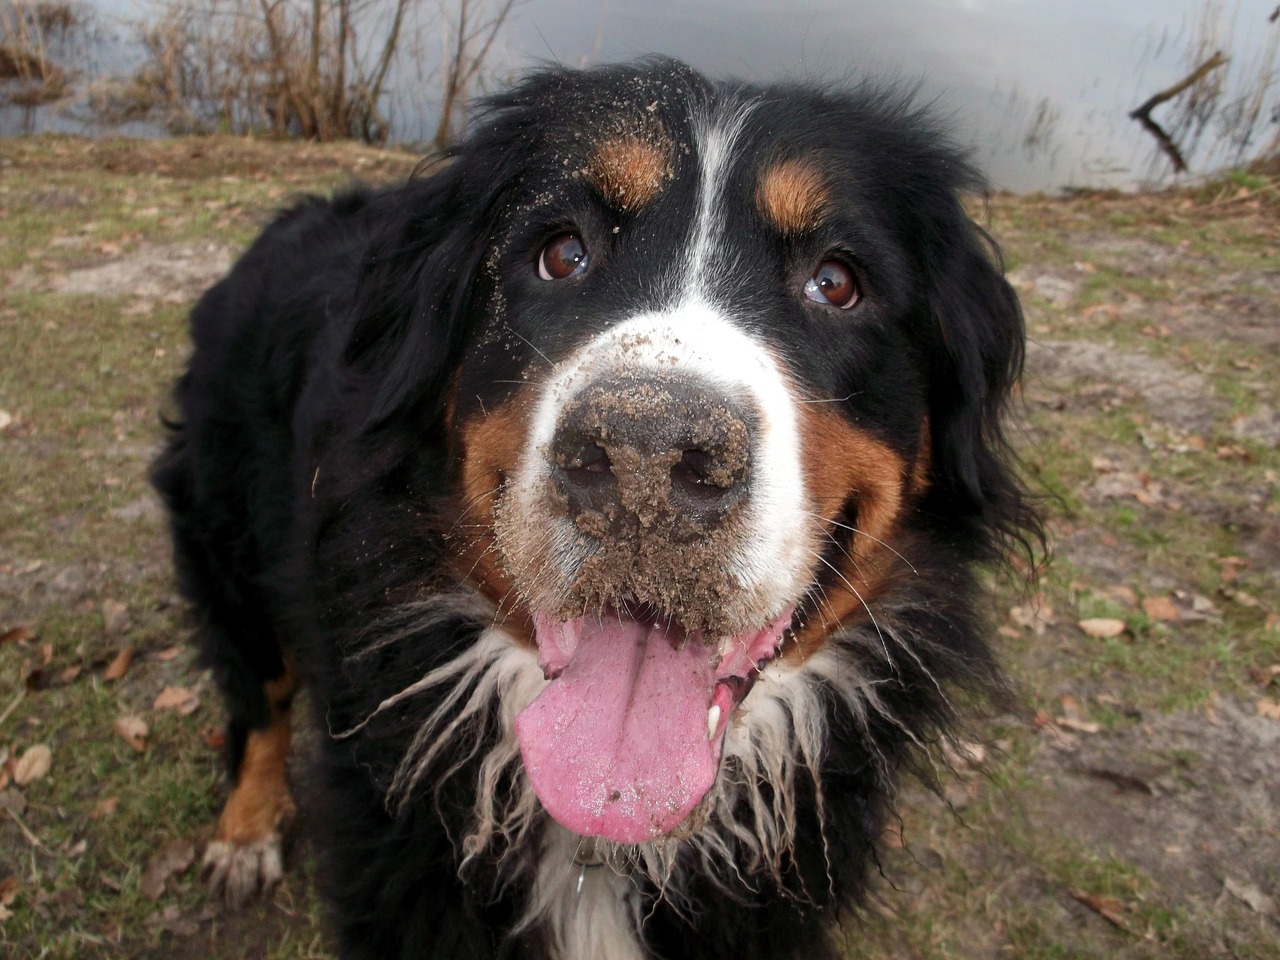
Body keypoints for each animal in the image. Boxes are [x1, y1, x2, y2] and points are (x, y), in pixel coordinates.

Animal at [152, 58, 1039, 960]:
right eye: (560, 253)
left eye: (837, 282)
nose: (645, 454)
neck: (612, 833)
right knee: (257, 693)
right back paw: (244, 832)